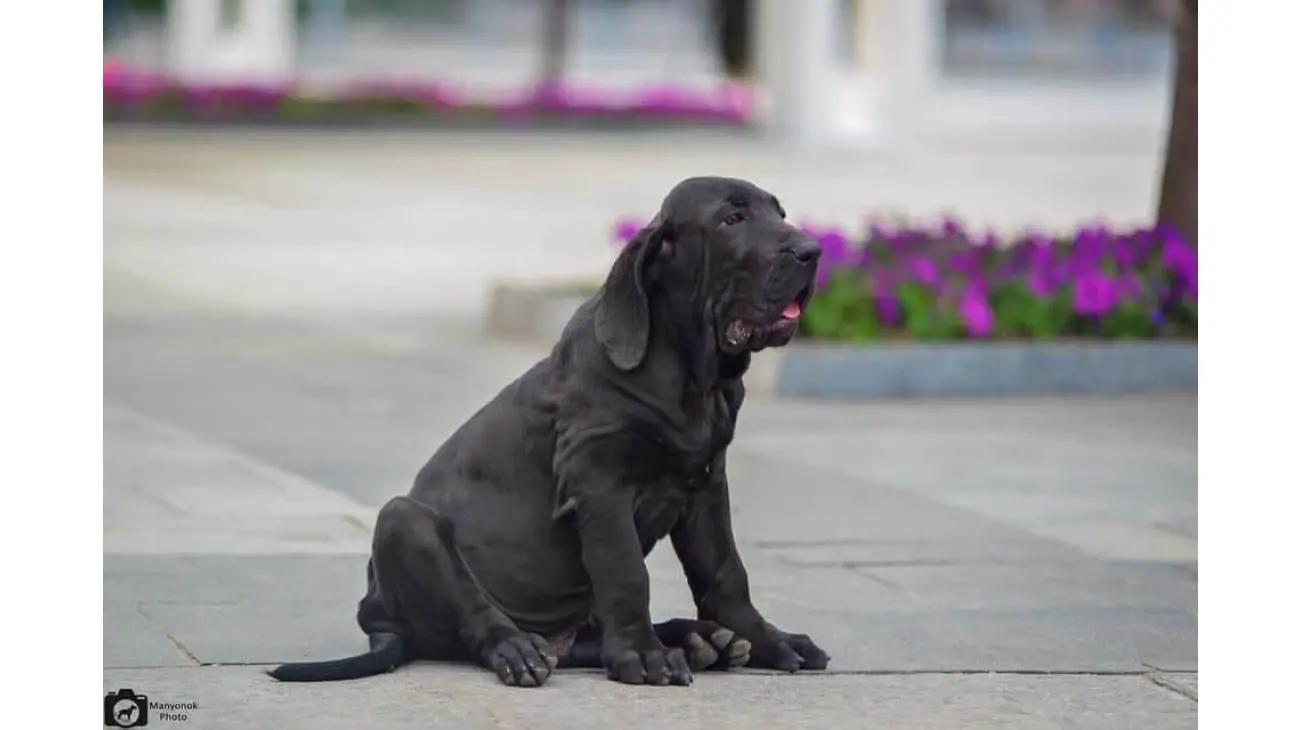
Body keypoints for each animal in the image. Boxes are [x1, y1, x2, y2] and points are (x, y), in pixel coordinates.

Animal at [269, 175, 826, 680]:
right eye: (733, 220)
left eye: (778, 212)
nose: (812, 251)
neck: (691, 378)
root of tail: (379, 620)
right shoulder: (598, 483)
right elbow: (627, 571)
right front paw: (642, 658)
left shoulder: (705, 485)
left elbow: (725, 572)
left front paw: (769, 640)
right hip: (403, 520)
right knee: (479, 619)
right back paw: (524, 650)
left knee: (584, 640)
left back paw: (704, 641)